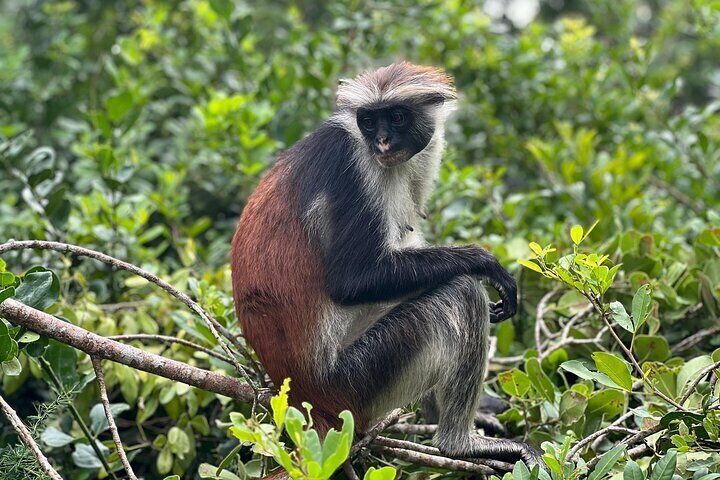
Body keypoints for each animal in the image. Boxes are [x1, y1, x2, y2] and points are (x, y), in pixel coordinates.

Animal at [231, 62, 542, 468]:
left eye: (396, 117)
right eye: (368, 121)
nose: (382, 142)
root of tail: (305, 394)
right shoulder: (348, 160)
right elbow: (352, 281)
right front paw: (484, 263)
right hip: (358, 379)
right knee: (461, 292)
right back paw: (457, 443)